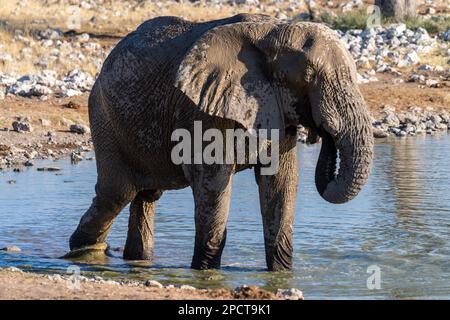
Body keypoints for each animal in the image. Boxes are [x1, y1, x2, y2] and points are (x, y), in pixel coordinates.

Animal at [69, 13, 372, 272]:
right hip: (104, 115)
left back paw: (136, 259)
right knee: (116, 193)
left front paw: (281, 275)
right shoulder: (203, 110)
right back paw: (84, 252)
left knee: (146, 195)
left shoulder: (275, 111)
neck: (273, 30)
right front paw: (205, 274)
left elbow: (281, 183)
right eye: (308, 76)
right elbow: (214, 183)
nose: (324, 132)